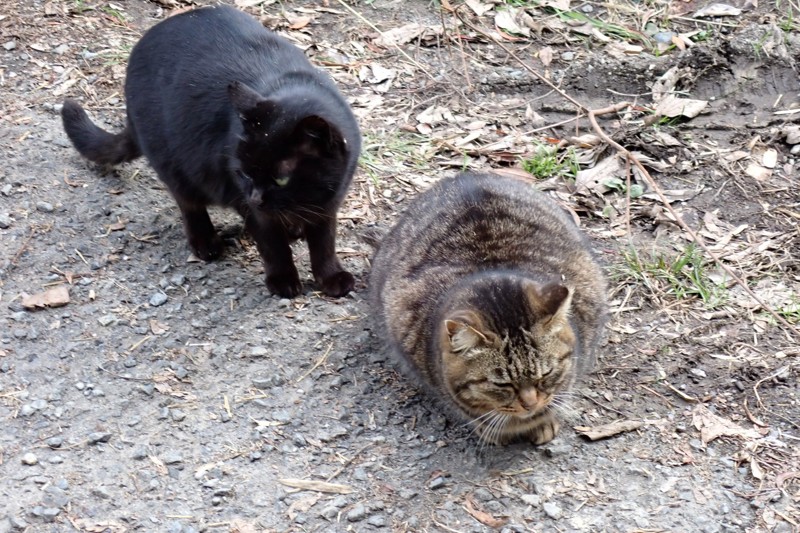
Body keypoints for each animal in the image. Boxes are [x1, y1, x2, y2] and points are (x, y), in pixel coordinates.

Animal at [61, 4, 360, 298]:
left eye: (281, 178)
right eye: (244, 174)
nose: (255, 197)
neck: (310, 198)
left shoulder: (329, 205)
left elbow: (324, 243)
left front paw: (331, 277)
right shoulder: (250, 204)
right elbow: (272, 245)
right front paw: (283, 280)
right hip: (175, 164)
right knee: (189, 204)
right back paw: (206, 243)